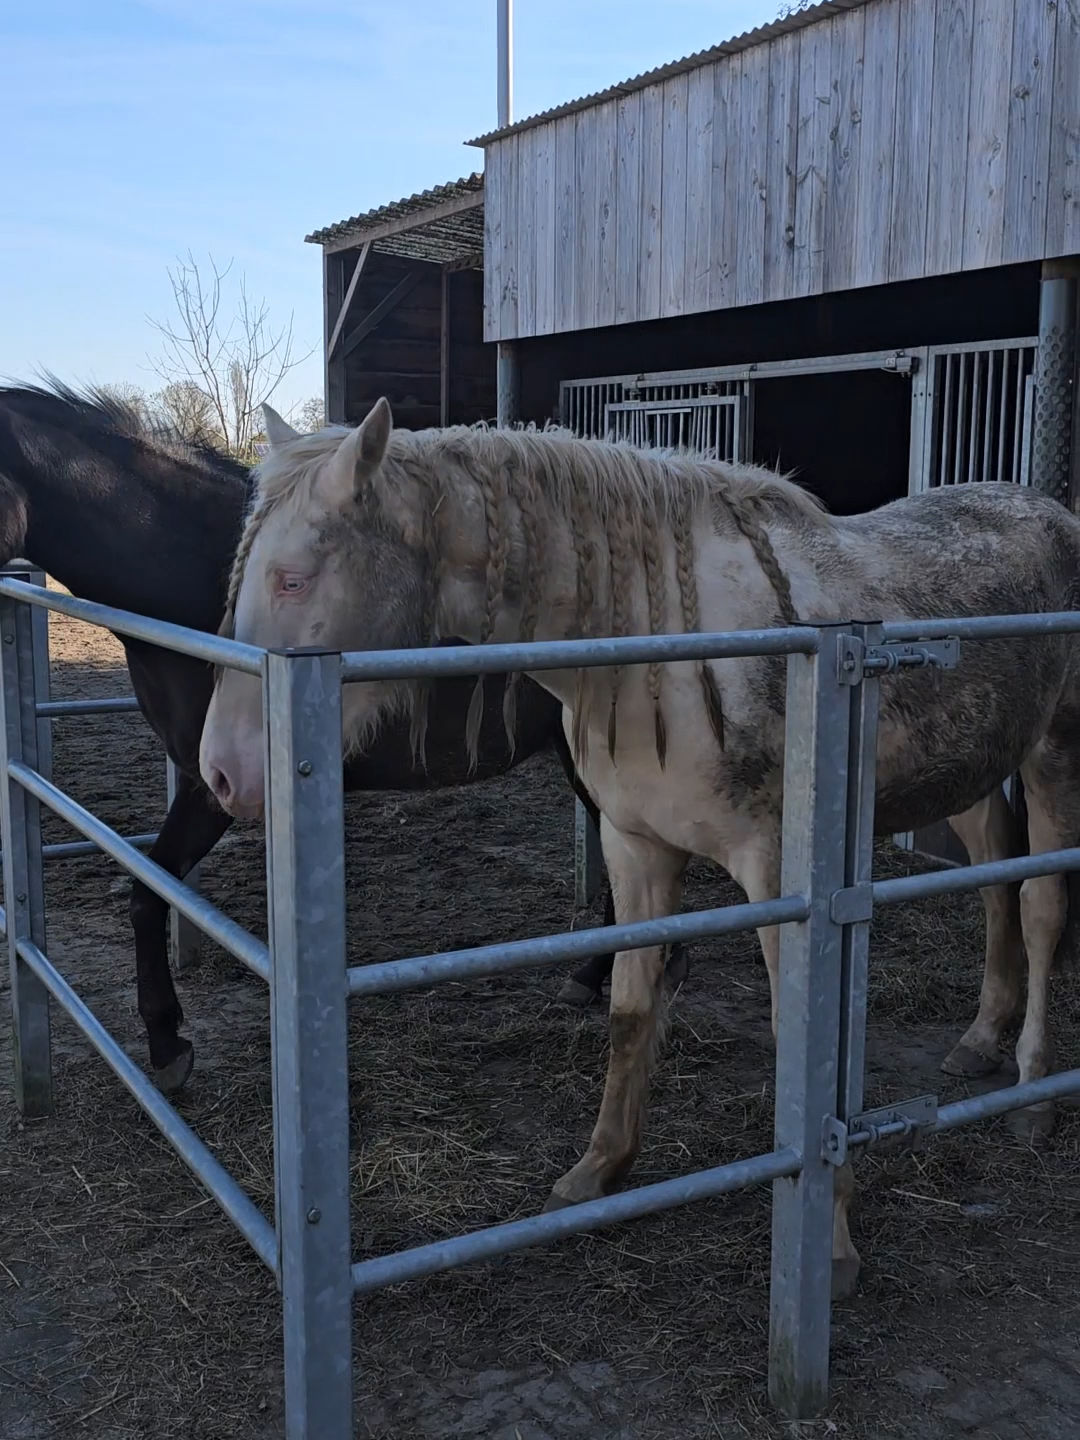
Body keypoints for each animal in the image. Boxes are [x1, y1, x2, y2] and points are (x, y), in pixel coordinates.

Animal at [201, 397, 1080, 1298]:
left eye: (293, 577)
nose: (223, 773)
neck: (661, 644)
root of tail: (1050, 510)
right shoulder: (634, 849)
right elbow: (629, 1007)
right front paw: (598, 1171)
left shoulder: (780, 871)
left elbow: (797, 1035)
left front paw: (832, 1245)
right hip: (972, 770)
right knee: (995, 881)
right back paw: (980, 1038)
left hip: (1054, 751)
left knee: (1043, 904)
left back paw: (1035, 1095)